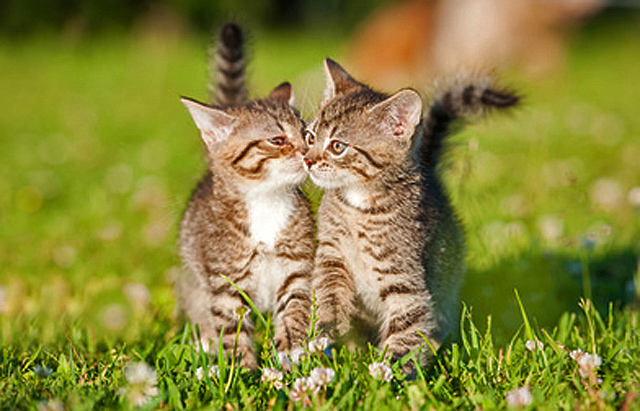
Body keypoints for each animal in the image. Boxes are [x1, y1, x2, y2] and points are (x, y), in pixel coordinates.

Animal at [175, 22, 316, 370]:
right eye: (278, 140)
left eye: (307, 134)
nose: (308, 154)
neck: (266, 201)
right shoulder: (225, 282)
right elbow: (232, 329)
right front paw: (243, 370)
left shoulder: (297, 270)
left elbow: (294, 311)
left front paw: (292, 355)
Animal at [304, 58, 520, 374]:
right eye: (310, 137)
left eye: (337, 146)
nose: (307, 159)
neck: (358, 206)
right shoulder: (332, 256)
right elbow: (327, 295)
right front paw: (325, 331)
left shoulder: (406, 280)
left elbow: (407, 329)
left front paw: (386, 376)